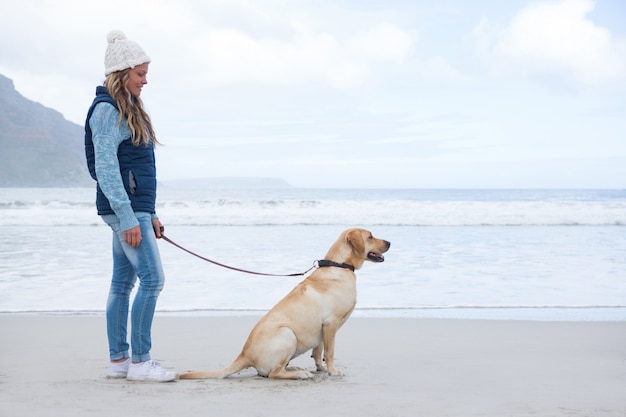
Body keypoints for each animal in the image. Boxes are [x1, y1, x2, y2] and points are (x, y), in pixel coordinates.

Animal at [178, 229, 388, 378]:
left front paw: (321, 368)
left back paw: (295, 368)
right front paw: (333, 371)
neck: (339, 265)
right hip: (287, 334)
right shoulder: (331, 323)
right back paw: (300, 374)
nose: (390, 242)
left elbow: (318, 351)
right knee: (274, 374)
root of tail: (244, 355)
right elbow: (329, 352)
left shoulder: (321, 328)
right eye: (370, 236)